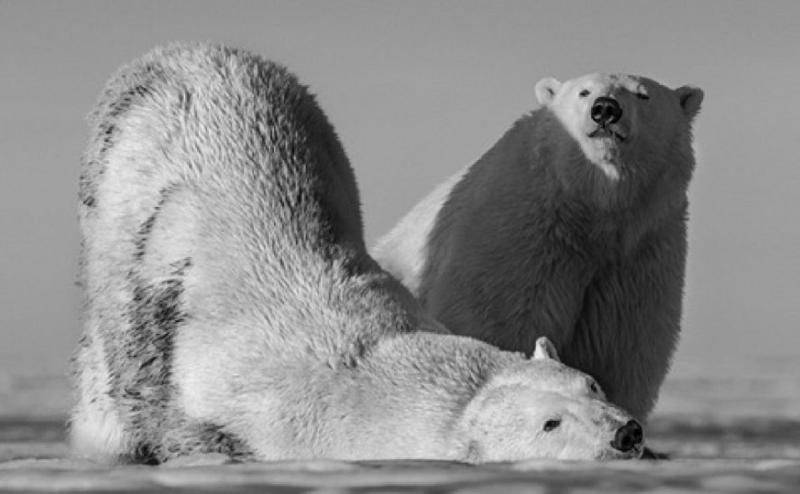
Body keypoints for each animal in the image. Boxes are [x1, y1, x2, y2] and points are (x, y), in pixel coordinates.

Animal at [372, 71, 704, 422]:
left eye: (643, 94)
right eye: (583, 92)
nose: (605, 109)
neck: (591, 214)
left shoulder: (638, 257)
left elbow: (621, 351)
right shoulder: (520, 242)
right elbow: (500, 324)